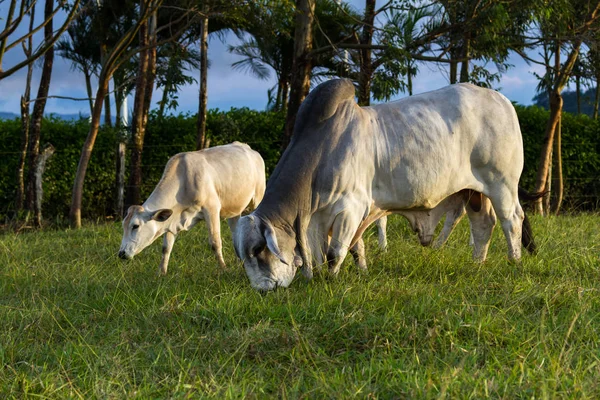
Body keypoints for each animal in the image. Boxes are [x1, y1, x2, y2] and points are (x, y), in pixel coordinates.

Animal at [118, 141, 264, 276]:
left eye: (135, 226)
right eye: (123, 225)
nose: (121, 253)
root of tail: (247, 147)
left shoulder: (211, 208)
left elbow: (215, 242)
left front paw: (224, 269)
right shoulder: (172, 219)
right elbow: (166, 248)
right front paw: (161, 273)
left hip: (258, 197)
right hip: (234, 210)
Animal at [234, 79, 528, 290]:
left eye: (258, 249)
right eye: (243, 256)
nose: (262, 290)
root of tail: (502, 100)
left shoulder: (349, 208)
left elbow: (335, 252)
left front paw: (330, 281)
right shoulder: (328, 218)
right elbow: (348, 248)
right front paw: (356, 272)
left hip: (501, 184)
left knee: (511, 220)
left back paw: (514, 261)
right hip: (474, 193)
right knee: (483, 225)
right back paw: (478, 264)